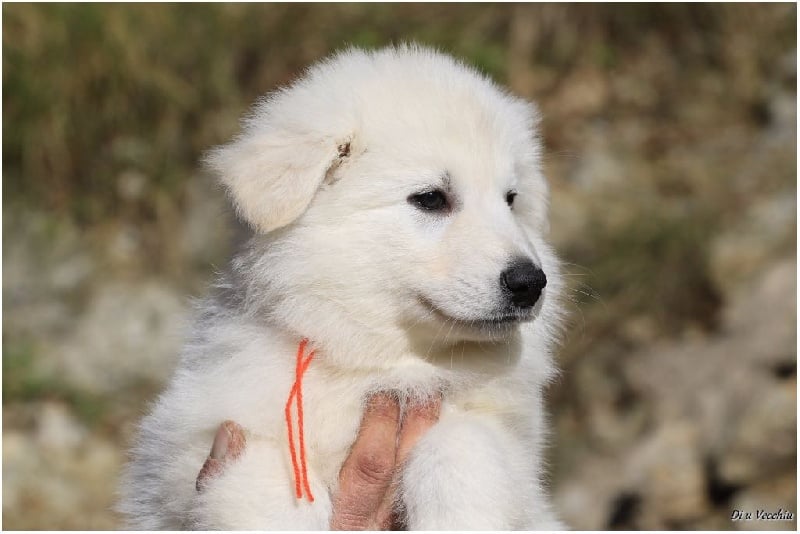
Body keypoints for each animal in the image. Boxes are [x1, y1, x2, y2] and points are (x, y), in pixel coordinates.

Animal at [118, 45, 565, 530]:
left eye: (511, 200)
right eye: (430, 199)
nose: (530, 282)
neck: (376, 364)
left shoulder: (508, 440)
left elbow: (463, 447)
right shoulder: (194, 444)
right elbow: (269, 483)